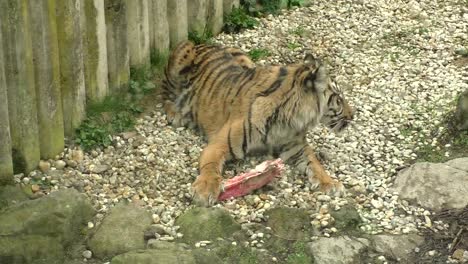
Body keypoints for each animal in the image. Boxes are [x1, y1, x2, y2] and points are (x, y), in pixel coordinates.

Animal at [162, 40, 354, 206]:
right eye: (338, 99)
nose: (353, 116)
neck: (290, 119)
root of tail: (203, 43)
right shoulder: (217, 145)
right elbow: (210, 167)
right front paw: (205, 189)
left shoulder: (297, 147)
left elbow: (315, 164)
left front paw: (330, 183)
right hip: (181, 55)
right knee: (165, 92)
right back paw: (176, 113)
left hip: (245, 59)